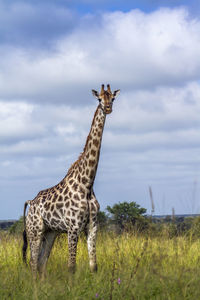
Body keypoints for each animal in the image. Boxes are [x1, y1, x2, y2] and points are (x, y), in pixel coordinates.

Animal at [22, 84, 121, 276]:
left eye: (112, 98)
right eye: (99, 99)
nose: (107, 108)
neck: (87, 184)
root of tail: (31, 201)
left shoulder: (93, 226)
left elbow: (94, 265)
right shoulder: (73, 227)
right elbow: (71, 267)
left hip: (50, 232)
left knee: (42, 261)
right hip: (34, 230)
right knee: (33, 262)